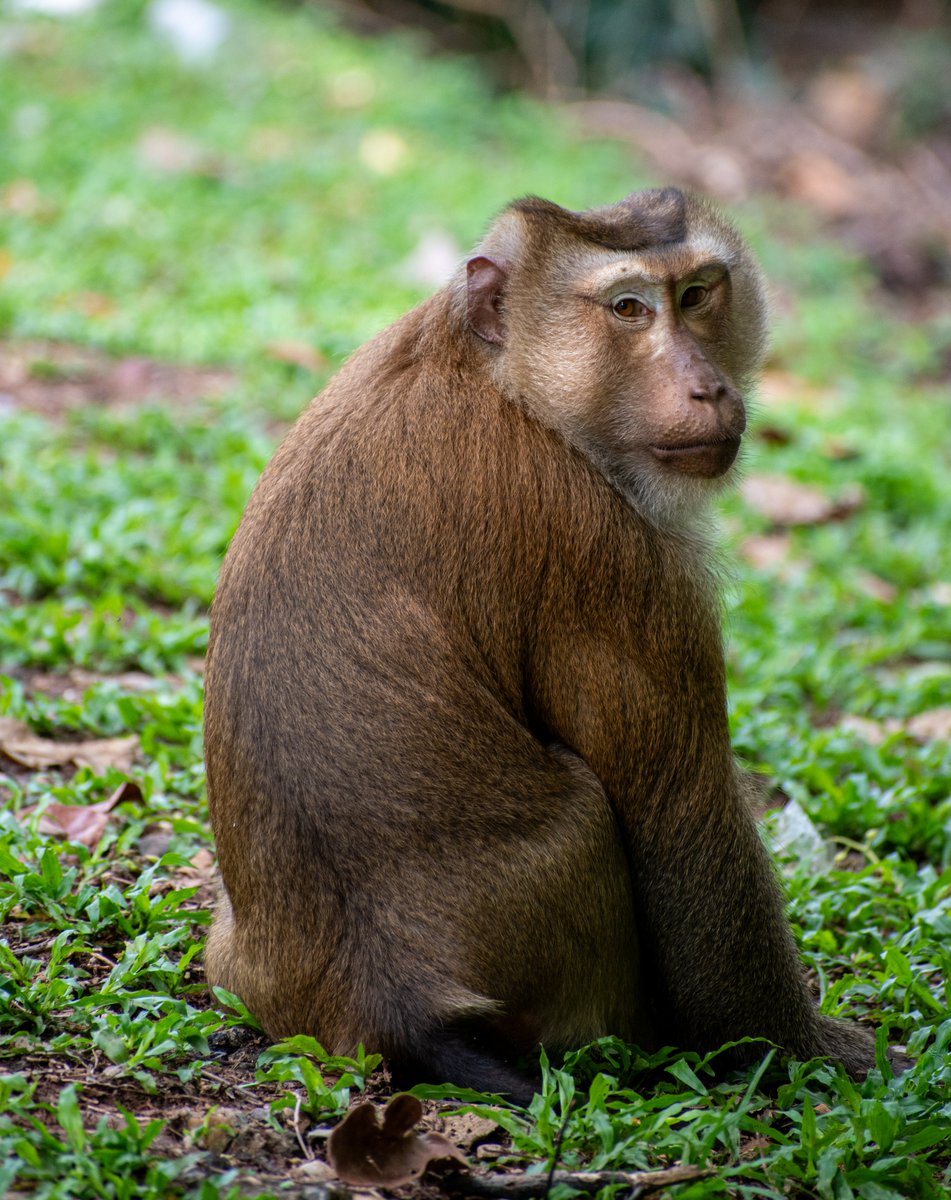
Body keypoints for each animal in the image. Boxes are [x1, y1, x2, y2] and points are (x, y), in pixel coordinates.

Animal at [204, 187, 907, 1104]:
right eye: (627, 308)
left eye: (695, 294)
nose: (705, 386)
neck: (502, 380)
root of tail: (397, 1001)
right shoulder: (608, 550)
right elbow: (678, 810)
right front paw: (811, 1051)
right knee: (594, 806)